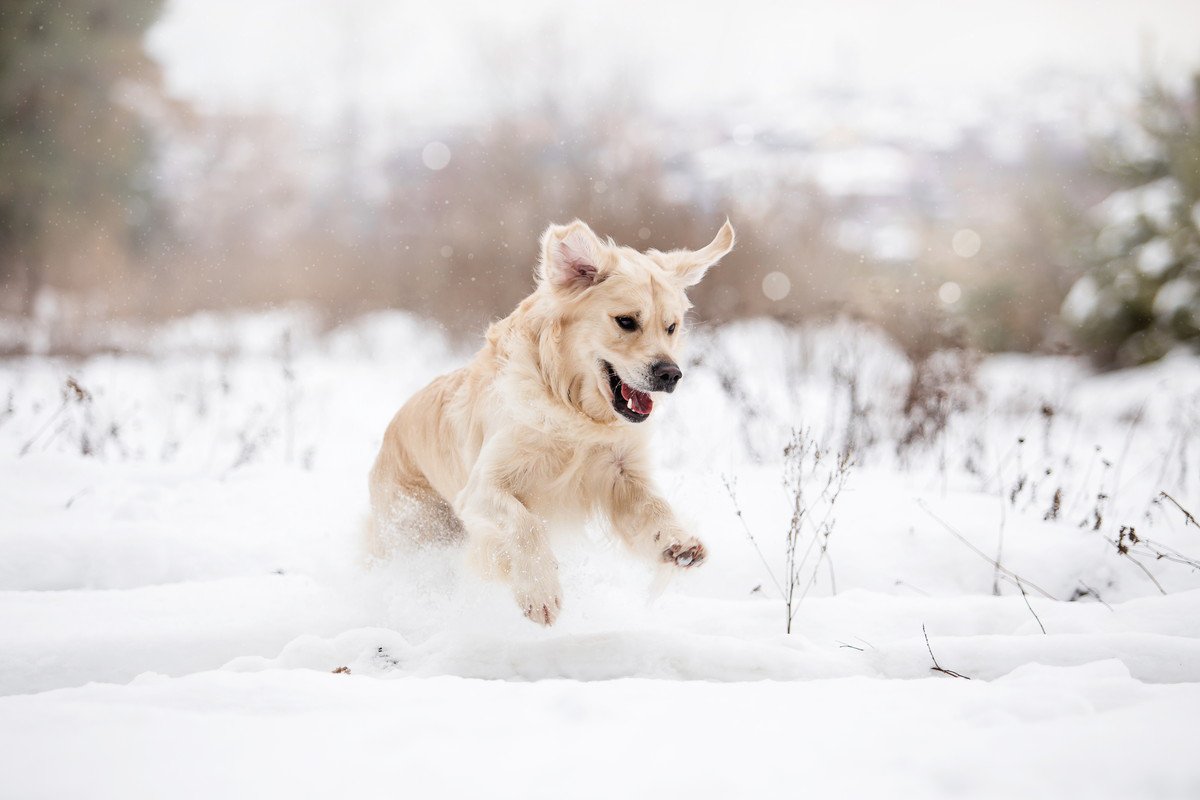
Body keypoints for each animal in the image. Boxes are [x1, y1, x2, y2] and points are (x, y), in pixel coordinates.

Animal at [369, 219, 734, 623]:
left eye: (671, 326)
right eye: (626, 322)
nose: (671, 374)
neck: (576, 411)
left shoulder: (620, 473)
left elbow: (654, 507)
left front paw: (677, 542)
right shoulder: (481, 488)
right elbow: (525, 523)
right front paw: (540, 592)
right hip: (414, 529)